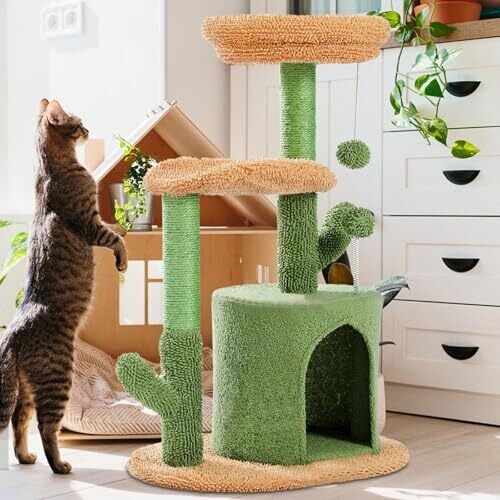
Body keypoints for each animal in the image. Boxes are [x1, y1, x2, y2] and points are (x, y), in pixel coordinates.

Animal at [0, 99, 127, 474]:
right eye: (79, 122)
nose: (89, 128)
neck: (51, 169)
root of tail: (11, 335)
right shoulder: (90, 224)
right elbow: (115, 237)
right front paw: (124, 255)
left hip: (28, 391)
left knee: (19, 423)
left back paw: (26, 458)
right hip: (58, 379)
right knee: (46, 428)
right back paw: (59, 465)